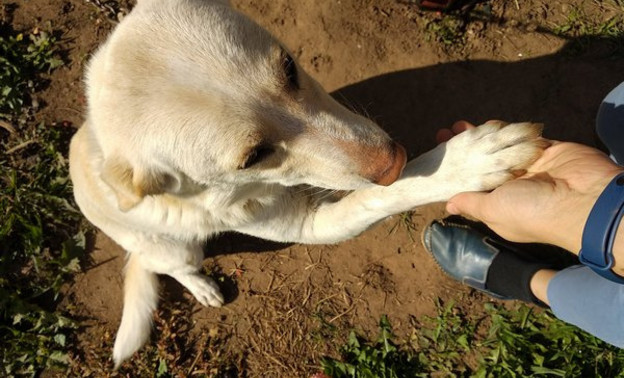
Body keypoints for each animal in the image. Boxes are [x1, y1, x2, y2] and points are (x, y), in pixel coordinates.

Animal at [69, 0, 544, 368]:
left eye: (289, 68)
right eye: (252, 157)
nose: (393, 160)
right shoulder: (313, 226)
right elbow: (381, 196)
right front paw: (465, 162)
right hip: (176, 248)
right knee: (171, 267)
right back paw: (201, 286)